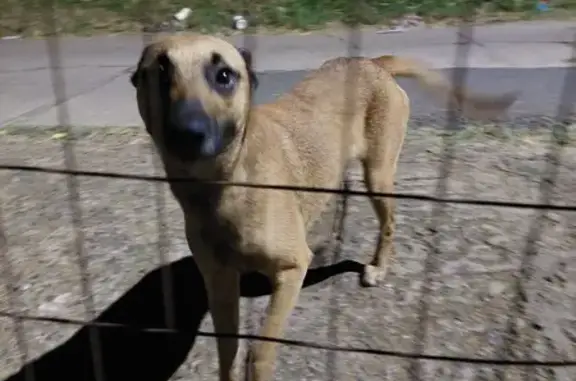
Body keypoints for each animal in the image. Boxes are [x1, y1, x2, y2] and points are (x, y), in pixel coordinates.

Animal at [132, 34, 516, 378]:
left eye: (224, 75)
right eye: (160, 72)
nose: (187, 132)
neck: (220, 186)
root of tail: (371, 63)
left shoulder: (291, 270)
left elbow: (259, 352)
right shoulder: (220, 281)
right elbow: (228, 352)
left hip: (378, 175)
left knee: (389, 224)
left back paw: (378, 267)